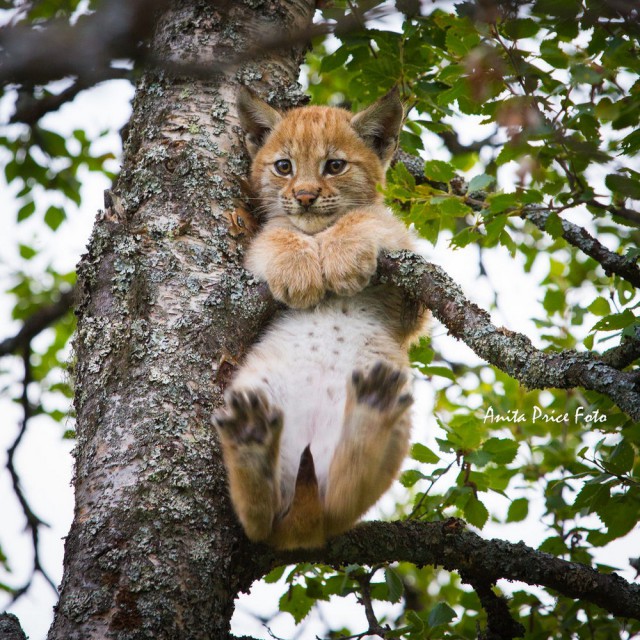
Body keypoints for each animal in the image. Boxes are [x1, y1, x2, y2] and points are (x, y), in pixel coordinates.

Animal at [212, 86, 428, 552]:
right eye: (284, 167)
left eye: (335, 166)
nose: (306, 196)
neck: (317, 231)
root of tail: (296, 535)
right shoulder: (251, 263)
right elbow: (275, 232)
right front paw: (299, 267)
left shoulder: (412, 294)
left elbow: (366, 217)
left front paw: (343, 253)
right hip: (253, 387)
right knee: (258, 522)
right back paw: (252, 438)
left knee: (339, 505)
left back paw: (371, 408)